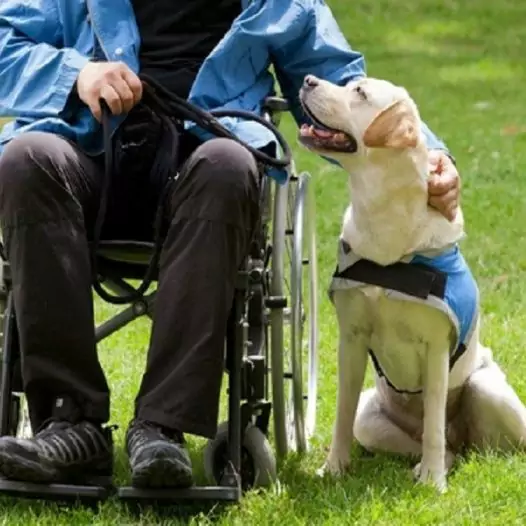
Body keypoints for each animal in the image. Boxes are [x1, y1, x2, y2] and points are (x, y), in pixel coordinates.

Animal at [300, 75, 526, 496]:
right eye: (349, 84)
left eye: (359, 93)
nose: (307, 80)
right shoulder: (351, 338)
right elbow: (341, 414)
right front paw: (334, 468)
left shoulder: (436, 347)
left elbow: (434, 422)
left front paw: (434, 483)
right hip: (370, 419)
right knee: (441, 446)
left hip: (485, 387)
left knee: (462, 443)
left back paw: (433, 467)